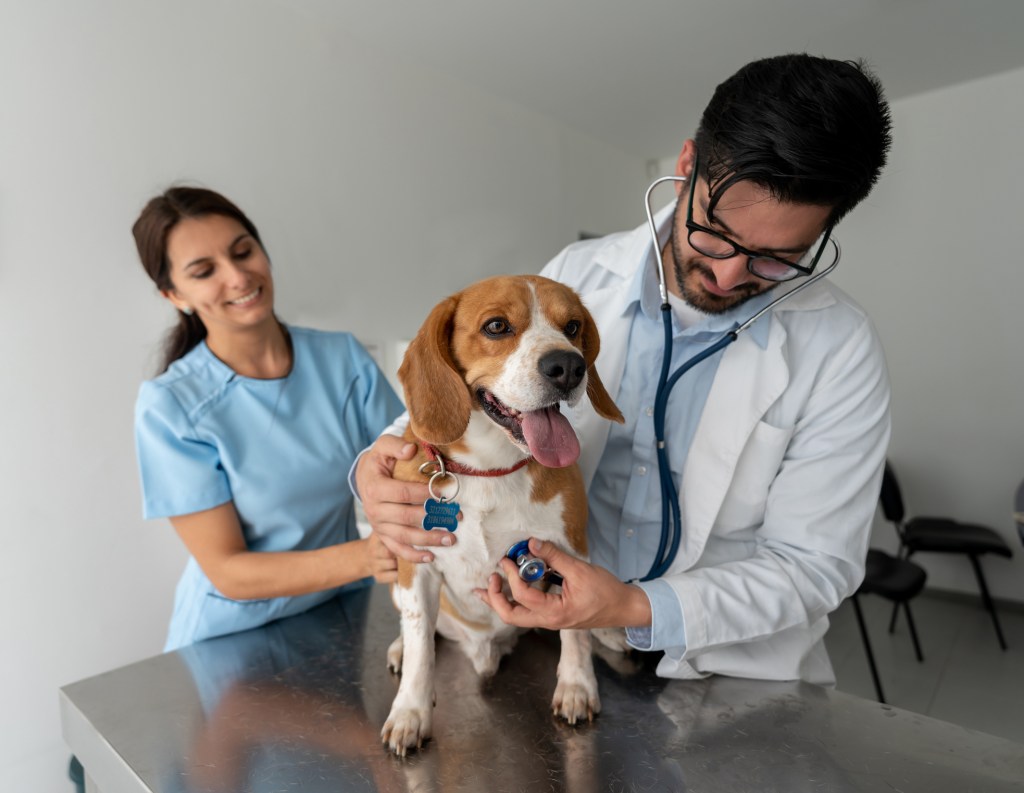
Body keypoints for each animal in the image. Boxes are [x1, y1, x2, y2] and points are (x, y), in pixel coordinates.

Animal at [385, 274, 622, 758]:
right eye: (496, 326)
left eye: (572, 326)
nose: (568, 366)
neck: (490, 469)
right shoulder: (416, 566)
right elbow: (421, 646)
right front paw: (410, 711)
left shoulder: (570, 552)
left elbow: (574, 630)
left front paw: (576, 684)